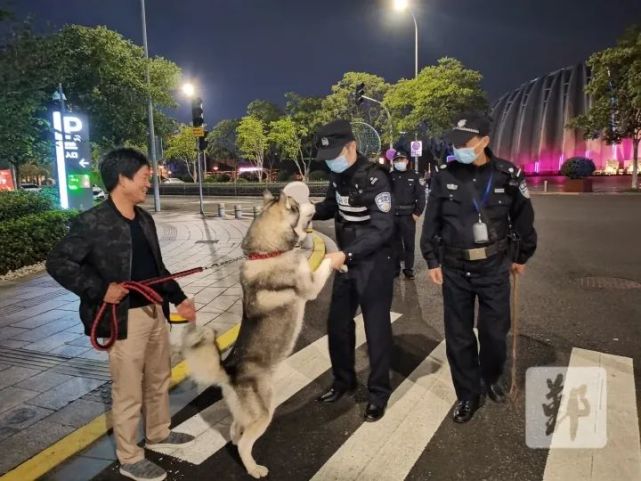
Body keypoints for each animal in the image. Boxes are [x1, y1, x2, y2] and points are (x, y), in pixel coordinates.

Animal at [180, 190, 330, 476]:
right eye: (297, 205)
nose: (316, 203)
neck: (268, 253)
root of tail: (229, 372)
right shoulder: (310, 287)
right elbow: (326, 263)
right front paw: (339, 259)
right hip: (264, 413)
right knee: (243, 444)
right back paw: (254, 468)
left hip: (245, 412)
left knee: (234, 428)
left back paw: (236, 439)